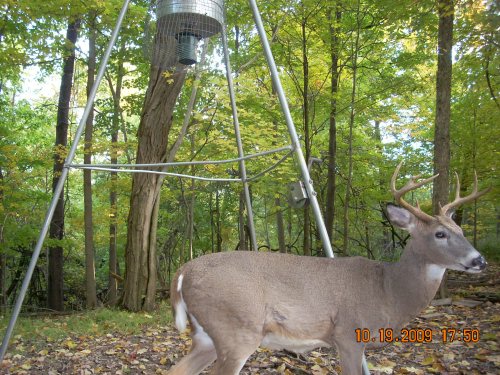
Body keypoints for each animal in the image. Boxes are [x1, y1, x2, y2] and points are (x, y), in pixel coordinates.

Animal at [167, 163, 488, 374]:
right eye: (439, 234)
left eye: (460, 230)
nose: (479, 260)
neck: (388, 290)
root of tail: (182, 273)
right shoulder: (348, 333)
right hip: (237, 329)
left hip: (207, 335)